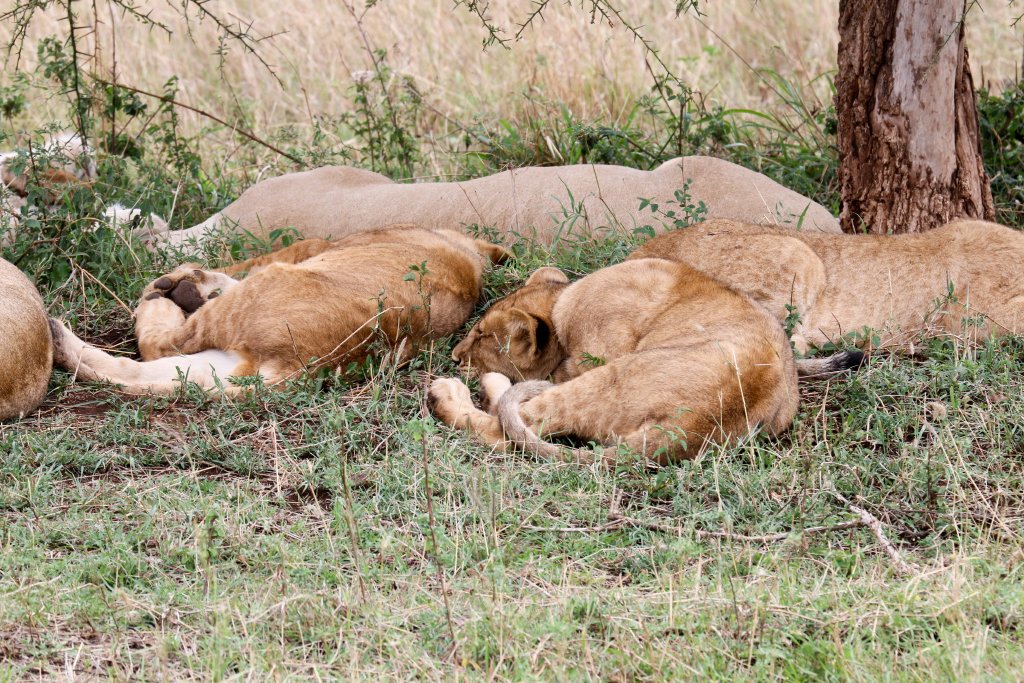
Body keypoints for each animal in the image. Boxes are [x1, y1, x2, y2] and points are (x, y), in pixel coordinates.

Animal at [50, 225, 509, 394]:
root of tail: (298, 367)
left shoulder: (310, 247)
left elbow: (239, 266)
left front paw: (190, 277)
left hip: (268, 287)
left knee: (159, 346)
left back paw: (164, 294)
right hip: (221, 367)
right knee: (144, 372)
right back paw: (60, 339)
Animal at [429, 260, 862, 464]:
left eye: (481, 335)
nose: (454, 356)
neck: (562, 300)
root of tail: (687, 430)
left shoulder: (598, 350)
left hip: (609, 378)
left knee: (506, 426)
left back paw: (448, 393)